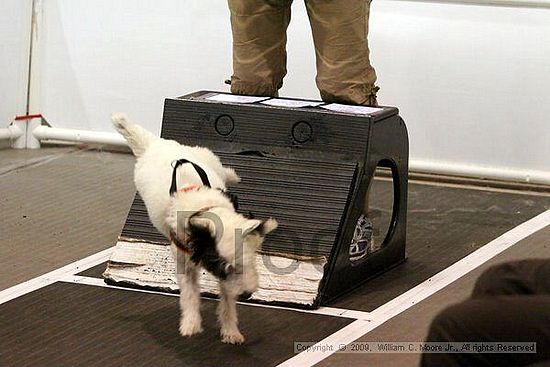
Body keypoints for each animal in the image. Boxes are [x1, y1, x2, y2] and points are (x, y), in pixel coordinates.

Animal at [112, 113, 278, 344]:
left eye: (249, 262)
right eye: (226, 268)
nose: (246, 294)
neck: (204, 209)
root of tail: (155, 145)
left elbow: (227, 302)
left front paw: (230, 330)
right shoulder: (188, 262)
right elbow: (190, 294)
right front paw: (191, 323)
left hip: (204, 156)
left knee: (220, 167)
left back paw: (231, 174)